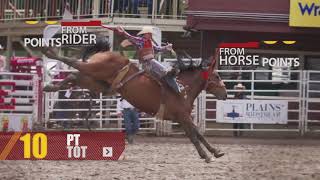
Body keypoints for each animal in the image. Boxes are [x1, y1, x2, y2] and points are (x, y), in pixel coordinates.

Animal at [42, 44, 228, 162]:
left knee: (74, 76)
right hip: (95, 69)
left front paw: (216, 152)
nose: (225, 93)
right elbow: (194, 136)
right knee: (73, 63)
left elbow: (198, 134)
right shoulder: (182, 117)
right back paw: (50, 53)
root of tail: (106, 52)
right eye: (217, 76)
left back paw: (50, 86)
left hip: (98, 82)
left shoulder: (184, 118)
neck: (183, 88)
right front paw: (206, 156)